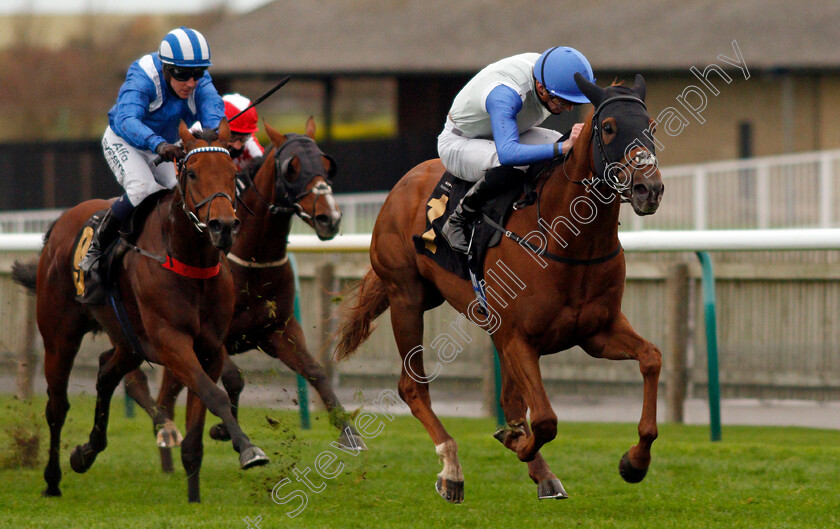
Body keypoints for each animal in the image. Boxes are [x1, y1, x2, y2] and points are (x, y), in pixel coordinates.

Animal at [19, 120, 268, 504]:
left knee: (106, 374)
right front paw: (248, 448)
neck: (189, 261)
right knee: (57, 405)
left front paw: (194, 495)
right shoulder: (171, 341)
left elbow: (203, 412)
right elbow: (214, 395)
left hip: (129, 341)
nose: (223, 226)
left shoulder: (209, 348)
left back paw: (86, 452)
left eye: (231, 172)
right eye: (192, 173)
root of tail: (60, 223)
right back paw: (52, 479)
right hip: (60, 336)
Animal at [122, 118, 368, 470]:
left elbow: (316, 372)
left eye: (325, 164)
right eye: (292, 168)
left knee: (166, 396)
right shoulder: (217, 338)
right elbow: (233, 379)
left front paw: (350, 432)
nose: (329, 218)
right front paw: (227, 431)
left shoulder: (277, 329)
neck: (252, 257)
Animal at [334, 73, 664, 500]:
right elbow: (545, 419)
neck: (566, 240)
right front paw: (515, 442)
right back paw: (452, 468)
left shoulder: (597, 332)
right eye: (608, 128)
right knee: (412, 386)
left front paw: (635, 462)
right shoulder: (518, 339)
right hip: (406, 297)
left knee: (508, 400)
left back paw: (541, 472)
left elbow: (651, 358)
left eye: (651, 127)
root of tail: (403, 184)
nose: (649, 189)